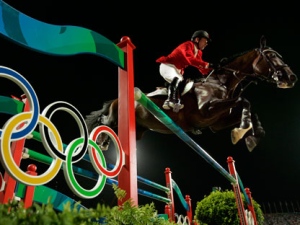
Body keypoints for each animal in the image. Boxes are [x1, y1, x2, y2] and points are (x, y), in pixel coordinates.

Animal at [85, 36, 296, 152]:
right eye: (271, 55)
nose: (291, 78)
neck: (221, 83)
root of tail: (115, 99)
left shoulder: (216, 124)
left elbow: (249, 111)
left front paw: (251, 135)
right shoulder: (206, 111)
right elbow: (244, 101)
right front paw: (242, 130)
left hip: (137, 130)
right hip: (116, 116)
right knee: (105, 122)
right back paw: (99, 141)